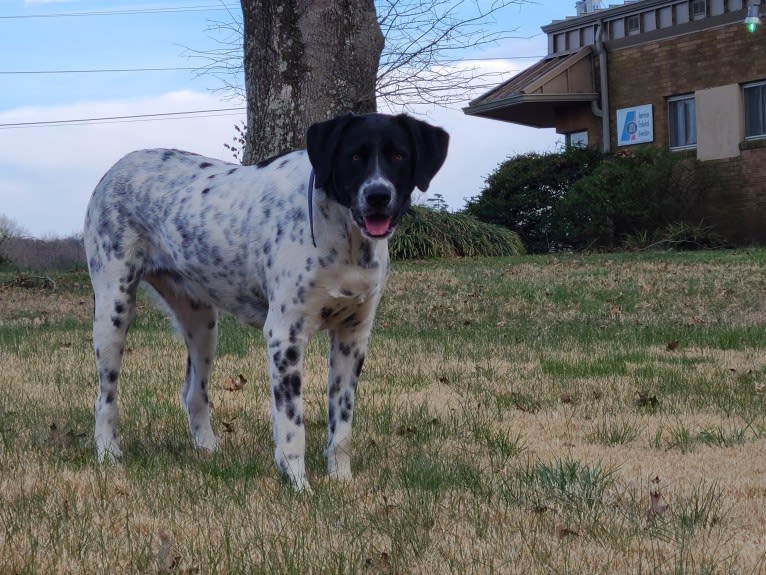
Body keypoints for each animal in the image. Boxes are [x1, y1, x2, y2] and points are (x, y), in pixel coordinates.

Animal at [82, 112, 450, 490]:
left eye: (399, 155)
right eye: (354, 156)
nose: (378, 195)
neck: (342, 237)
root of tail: (115, 168)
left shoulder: (352, 338)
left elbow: (341, 425)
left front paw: (341, 479)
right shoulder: (285, 336)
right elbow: (292, 428)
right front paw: (299, 484)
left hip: (202, 323)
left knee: (194, 393)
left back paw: (208, 449)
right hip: (113, 312)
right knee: (105, 397)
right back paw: (108, 452)